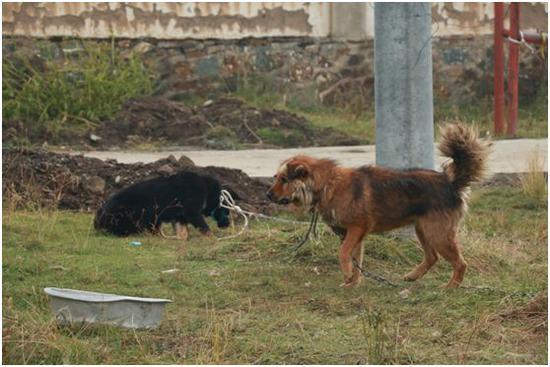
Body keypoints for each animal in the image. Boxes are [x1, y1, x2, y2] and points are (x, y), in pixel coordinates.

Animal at [95, 172, 231, 240]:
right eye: (227, 211)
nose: (227, 225)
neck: (208, 190)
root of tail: (98, 219)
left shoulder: (180, 217)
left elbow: (183, 232)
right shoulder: (192, 212)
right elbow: (204, 227)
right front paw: (212, 237)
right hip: (138, 216)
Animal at [268, 125, 492, 288]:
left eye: (284, 179)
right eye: (276, 177)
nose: (268, 195)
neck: (326, 184)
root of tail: (449, 182)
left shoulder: (357, 228)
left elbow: (343, 253)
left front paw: (348, 275)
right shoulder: (353, 234)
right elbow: (355, 259)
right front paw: (353, 283)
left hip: (437, 233)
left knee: (460, 263)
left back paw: (451, 287)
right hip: (423, 229)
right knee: (432, 257)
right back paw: (412, 276)